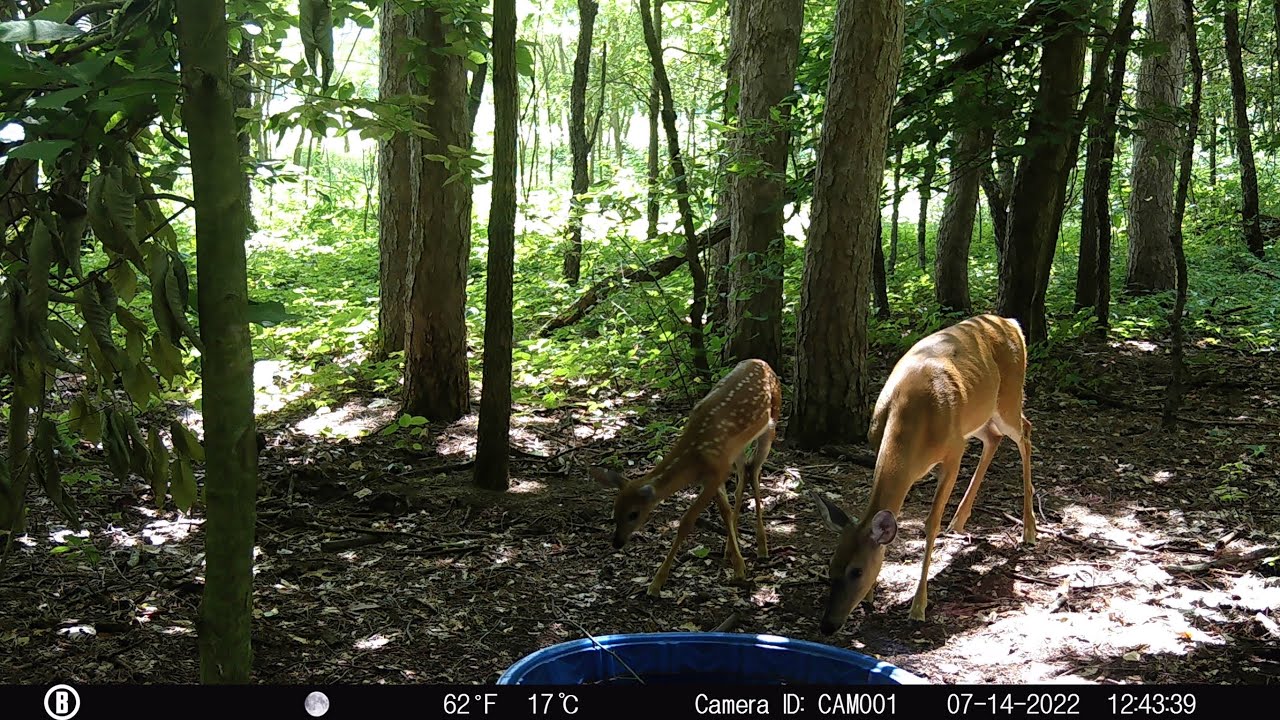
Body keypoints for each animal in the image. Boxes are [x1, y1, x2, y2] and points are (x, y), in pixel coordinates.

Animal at [590, 358, 782, 597]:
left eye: (634, 514)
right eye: (615, 511)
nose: (617, 542)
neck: (695, 456)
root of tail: (764, 363)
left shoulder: (717, 472)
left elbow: (687, 521)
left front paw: (656, 583)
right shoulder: (713, 474)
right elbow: (725, 511)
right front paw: (734, 556)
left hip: (772, 423)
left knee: (754, 472)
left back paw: (762, 546)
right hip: (738, 449)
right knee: (744, 473)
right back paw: (732, 547)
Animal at [809, 314, 1036, 634]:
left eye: (857, 571)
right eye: (832, 567)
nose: (828, 626)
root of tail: (1011, 322)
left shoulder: (953, 451)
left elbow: (930, 525)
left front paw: (918, 607)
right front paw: (871, 598)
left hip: (1008, 398)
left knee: (1025, 431)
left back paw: (1029, 530)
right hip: (979, 415)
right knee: (994, 437)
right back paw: (959, 520)